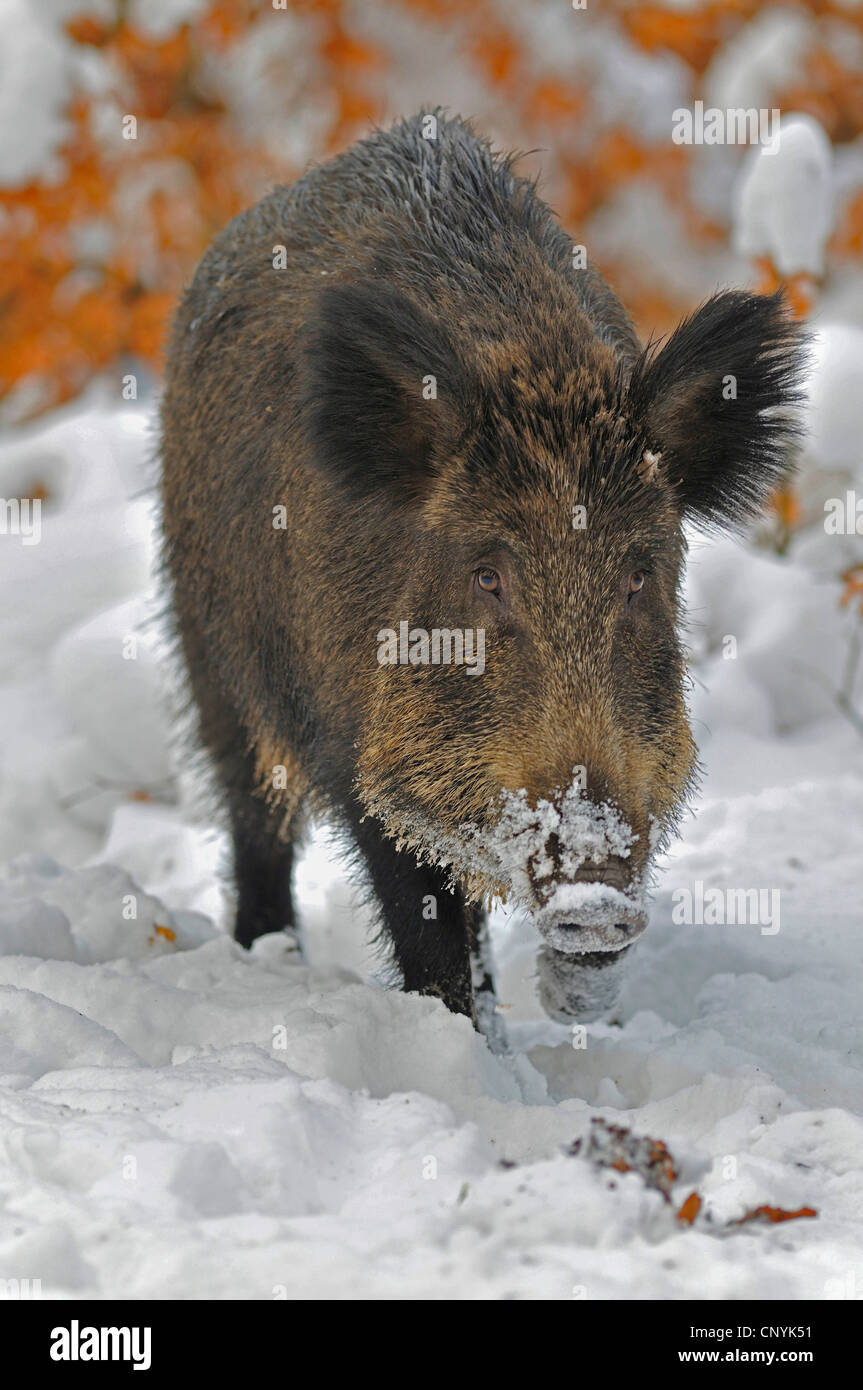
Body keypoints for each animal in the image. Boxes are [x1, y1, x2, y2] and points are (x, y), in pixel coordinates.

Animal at [159, 111, 805, 1033]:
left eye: (638, 575)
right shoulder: (359, 745)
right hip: (207, 648)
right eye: (487, 576)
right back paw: (266, 954)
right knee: (254, 812)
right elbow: (419, 916)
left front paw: (569, 1007)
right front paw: (456, 1042)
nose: (590, 898)